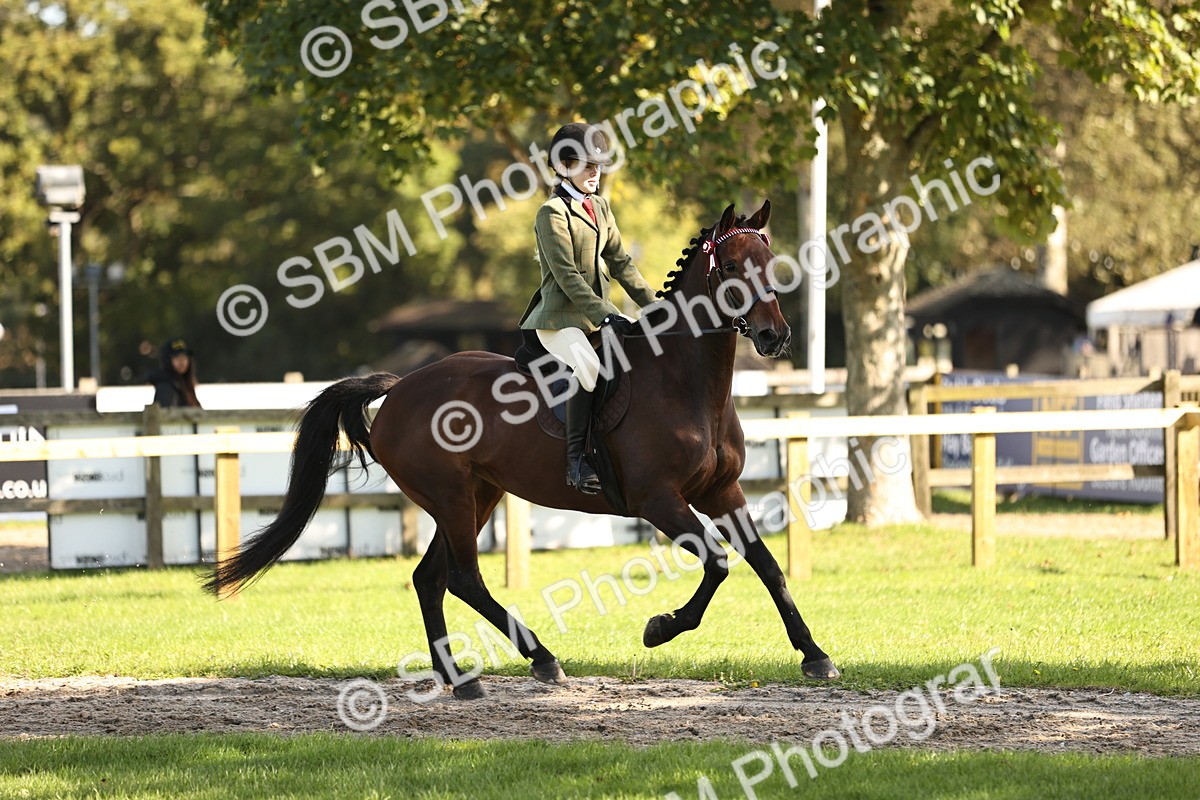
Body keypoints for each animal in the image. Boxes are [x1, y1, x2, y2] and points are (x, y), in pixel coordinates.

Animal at [204, 199, 840, 699]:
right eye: (729, 266)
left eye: (771, 264)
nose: (775, 336)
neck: (684, 381)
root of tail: (402, 385)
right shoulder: (658, 499)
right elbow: (717, 561)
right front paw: (660, 628)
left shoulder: (722, 491)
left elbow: (767, 565)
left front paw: (815, 655)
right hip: (453, 498)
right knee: (461, 579)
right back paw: (539, 659)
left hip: (477, 495)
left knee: (430, 579)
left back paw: (462, 677)